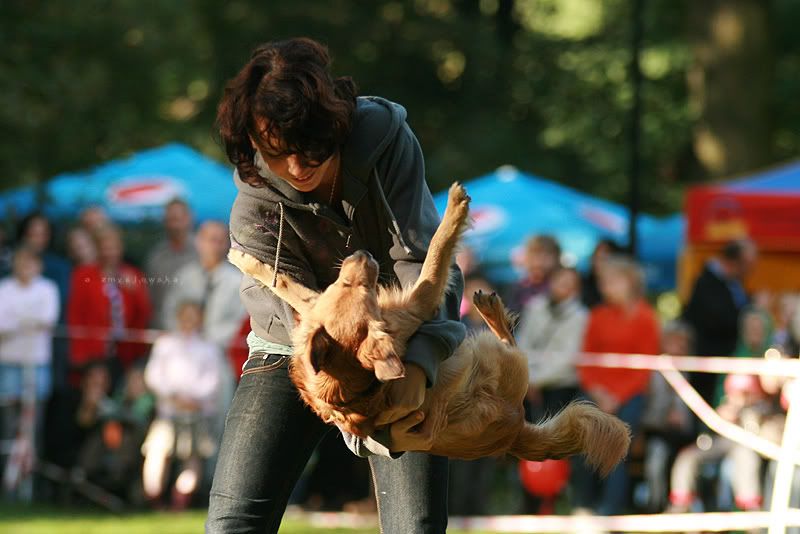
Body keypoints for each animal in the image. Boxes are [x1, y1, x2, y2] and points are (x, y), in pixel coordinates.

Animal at [229, 183, 630, 474]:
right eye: (357, 289)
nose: (363, 255)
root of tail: (514, 434)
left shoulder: (314, 312)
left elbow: (288, 284)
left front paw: (245, 258)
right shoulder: (419, 301)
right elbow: (437, 251)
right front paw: (455, 209)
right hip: (497, 358)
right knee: (513, 346)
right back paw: (493, 313)